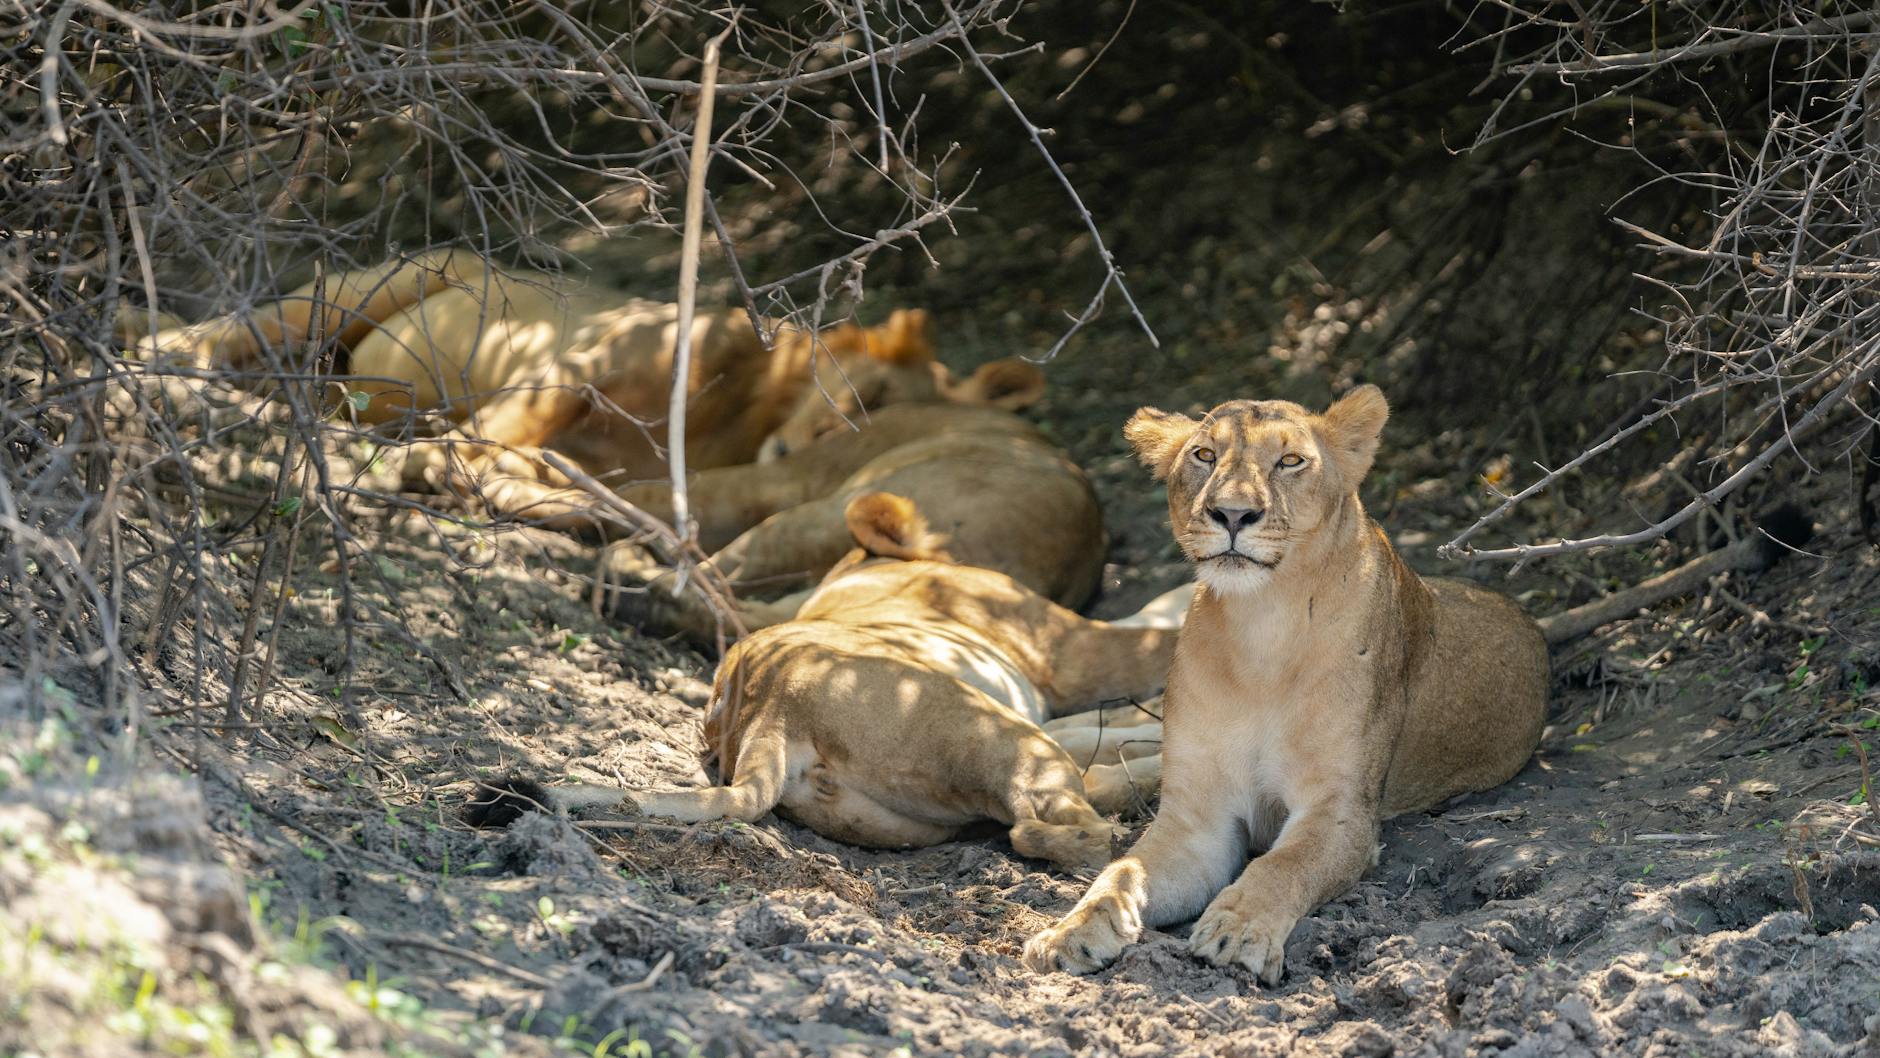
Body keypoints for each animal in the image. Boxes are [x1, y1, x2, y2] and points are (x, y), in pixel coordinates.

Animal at [469, 492, 1177, 870]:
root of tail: (767, 711)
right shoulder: (1070, 647)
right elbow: (1161, 631)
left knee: (1074, 784)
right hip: (994, 730)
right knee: (1061, 822)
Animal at [1022, 385, 1550, 984]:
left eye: (1290, 461)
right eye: (1204, 455)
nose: (1231, 513)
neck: (1263, 627)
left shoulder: (1341, 813)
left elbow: (1281, 865)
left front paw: (1237, 933)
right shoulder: (1195, 819)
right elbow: (1121, 873)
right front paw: (1070, 932)